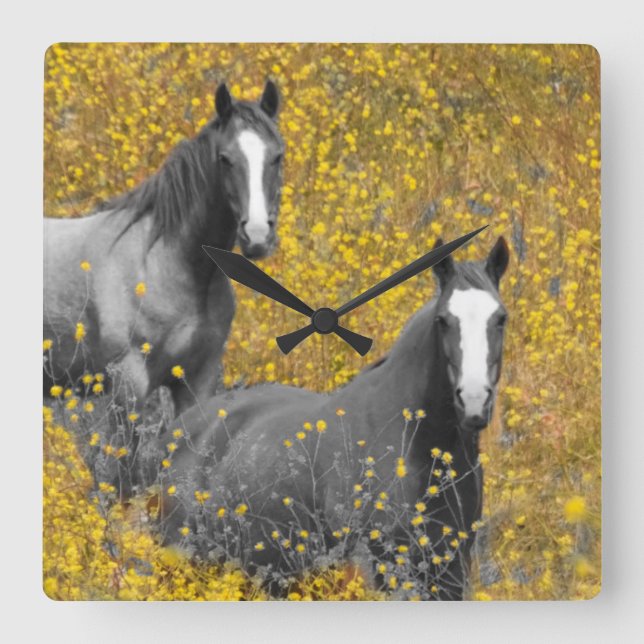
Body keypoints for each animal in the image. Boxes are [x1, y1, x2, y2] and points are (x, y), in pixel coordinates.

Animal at [133, 237, 510, 600]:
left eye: (501, 318)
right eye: (443, 320)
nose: (474, 400)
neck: (415, 442)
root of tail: (176, 434)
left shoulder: (450, 573)